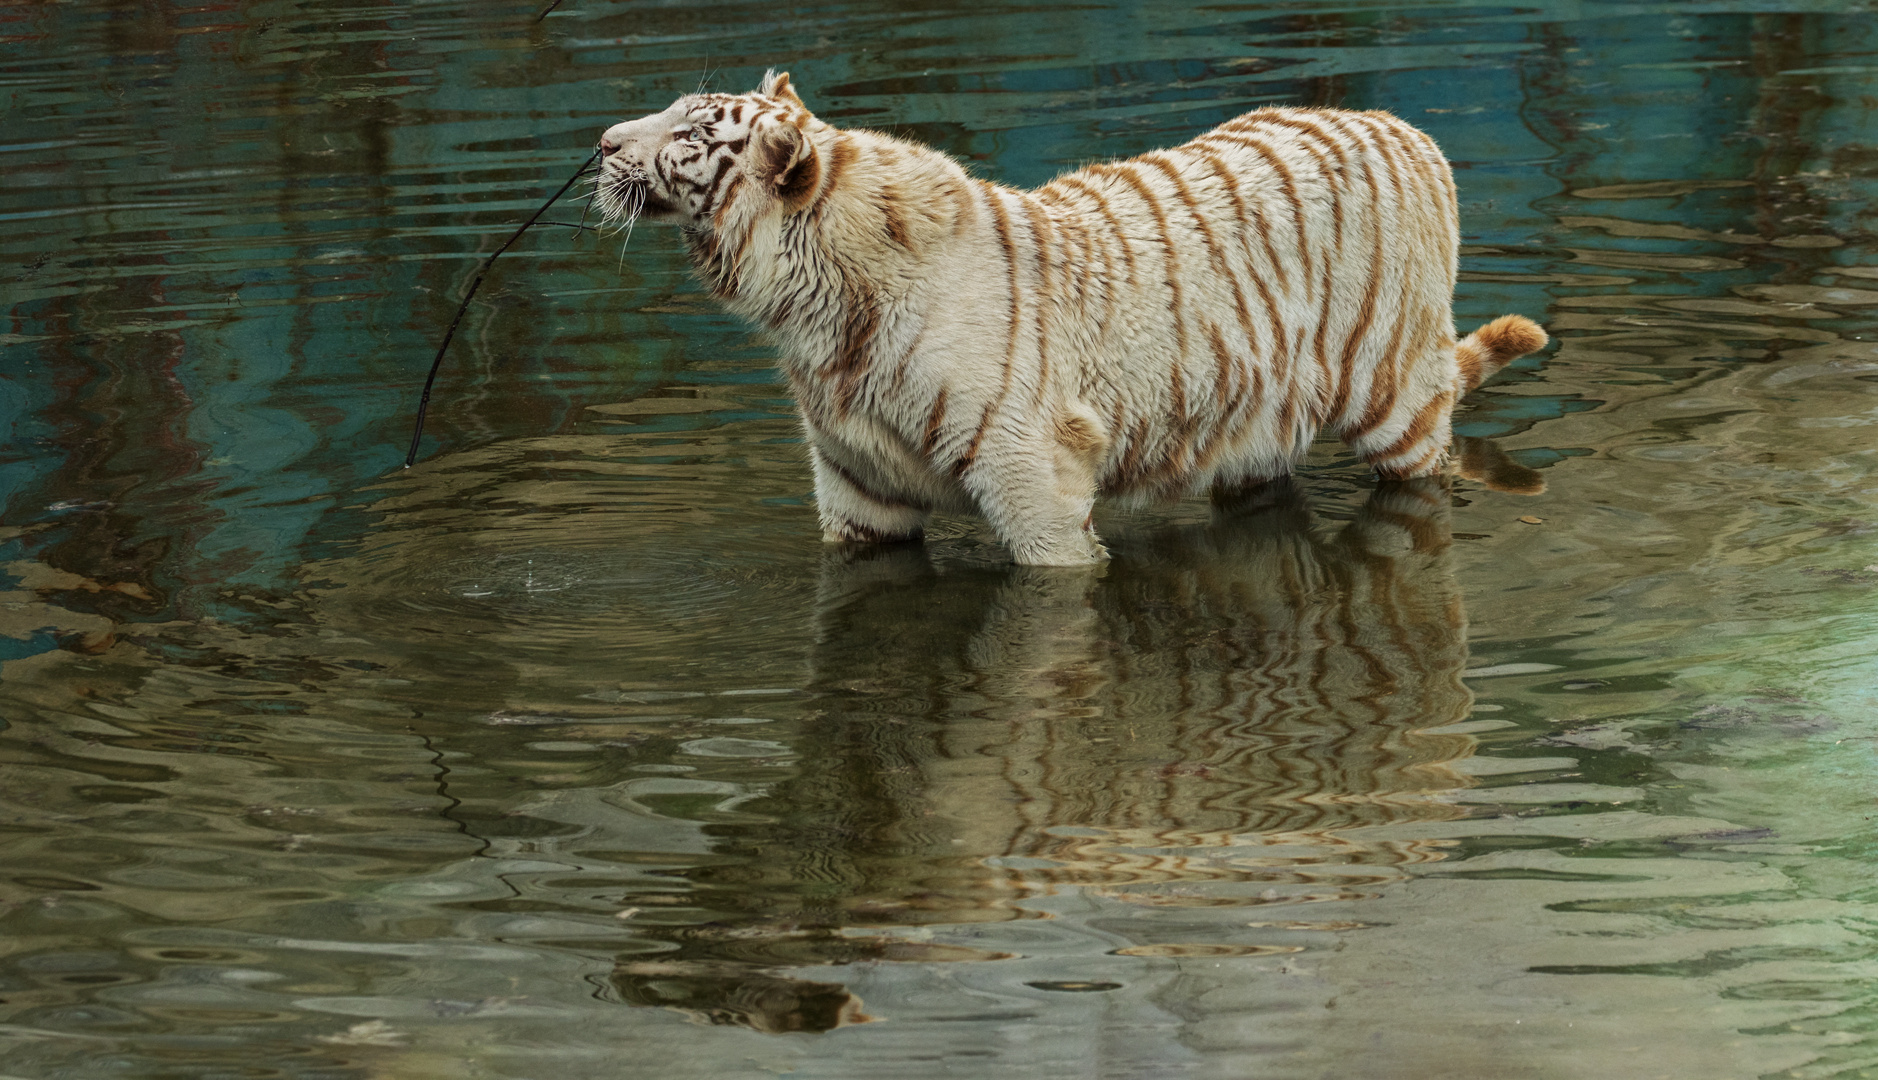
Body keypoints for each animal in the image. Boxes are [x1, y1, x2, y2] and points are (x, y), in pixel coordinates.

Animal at [597, 69, 1539, 567]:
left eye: (688, 135)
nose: (602, 142)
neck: (812, 313)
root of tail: (1401, 126)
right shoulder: (860, 491)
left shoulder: (1036, 479)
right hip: (1253, 423)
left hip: (1395, 399)